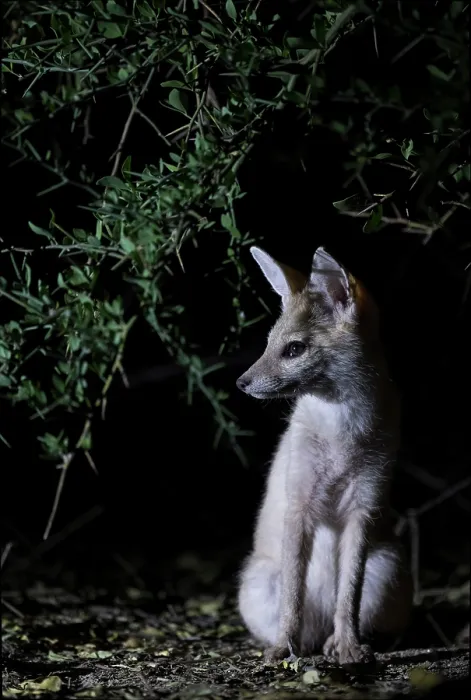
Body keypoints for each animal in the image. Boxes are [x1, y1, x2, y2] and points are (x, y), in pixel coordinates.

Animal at [236, 245, 412, 666]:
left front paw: (348, 645)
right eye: (268, 343)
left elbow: (348, 595)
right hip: (258, 581)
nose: (241, 383)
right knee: (300, 619)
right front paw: (283, 646)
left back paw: (338, 642)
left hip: (388, 569)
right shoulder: (300, 506)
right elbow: (292, 599)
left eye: (294, 349)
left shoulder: (363, 507)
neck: (341, 434)